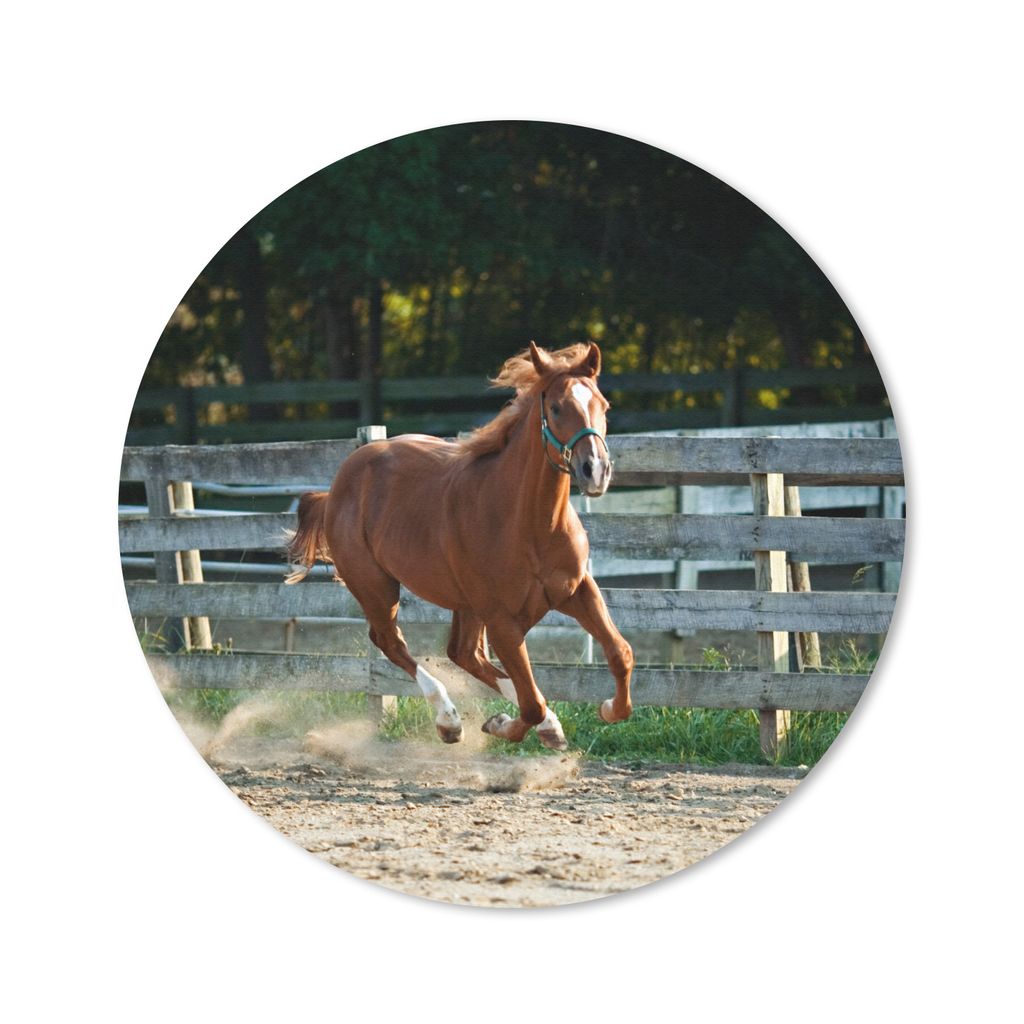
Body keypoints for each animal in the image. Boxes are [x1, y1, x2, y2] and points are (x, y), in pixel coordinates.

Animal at [286, 341, 634, 750]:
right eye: (557, 408)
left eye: (603, 404)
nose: (595, 470)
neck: (531, 524)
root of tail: (338, 485)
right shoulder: (501, 620)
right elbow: (530, 703)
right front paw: (501, 724)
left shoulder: (577, 591)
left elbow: (620, 653)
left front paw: (607, 710)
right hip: (376, 587)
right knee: (391, 641)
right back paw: (449, 720)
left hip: (464, 605)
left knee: (463, 653)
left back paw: (542, 724)